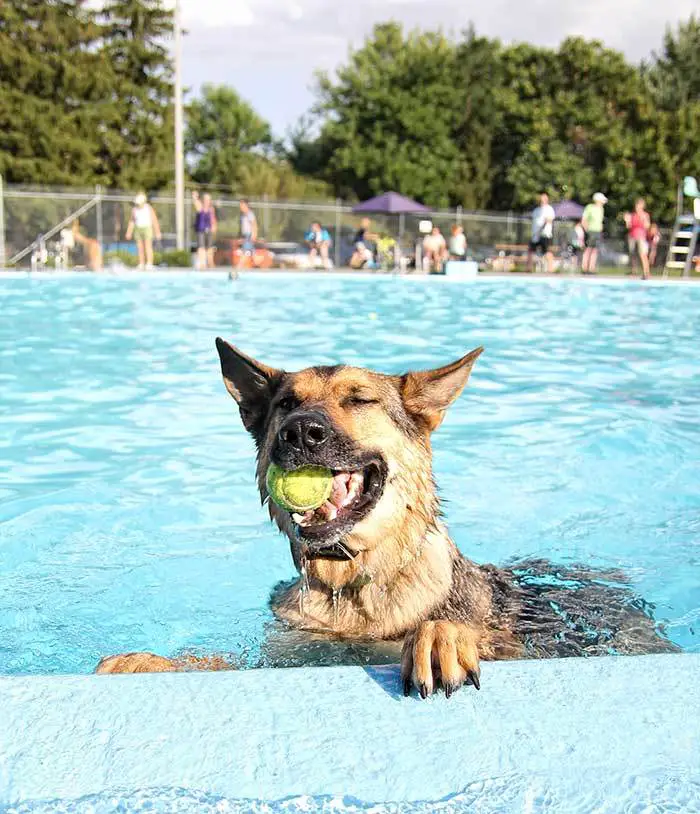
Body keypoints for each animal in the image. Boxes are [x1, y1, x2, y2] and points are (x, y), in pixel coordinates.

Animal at [95, 340, 676, 696]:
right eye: (285, 404)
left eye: (360, 400)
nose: (300, 432)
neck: (354, 591)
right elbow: (216, 664)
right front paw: (149, 663)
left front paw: (440, 637)